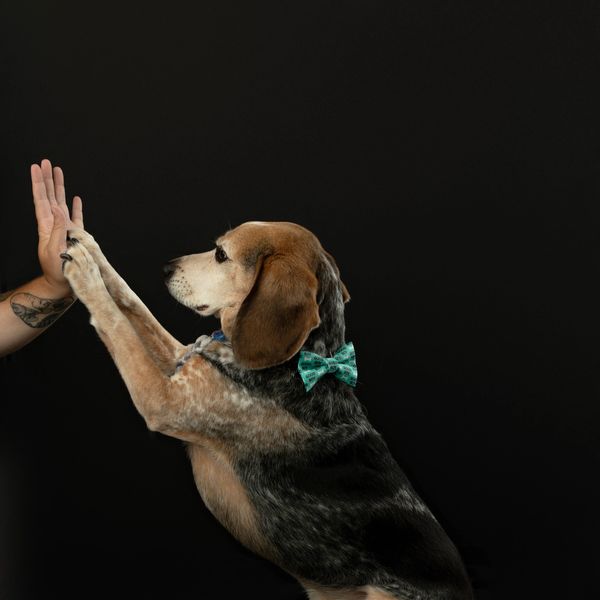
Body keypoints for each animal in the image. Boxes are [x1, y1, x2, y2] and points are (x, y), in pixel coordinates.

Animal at [61, 221, 474, 600]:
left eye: (221, 254)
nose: (165, 268)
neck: (300, 361)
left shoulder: (161, 399)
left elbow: (117, 324)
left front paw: (84, 275)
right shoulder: (182, 361)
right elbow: (132, 301)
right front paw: (90, 248)